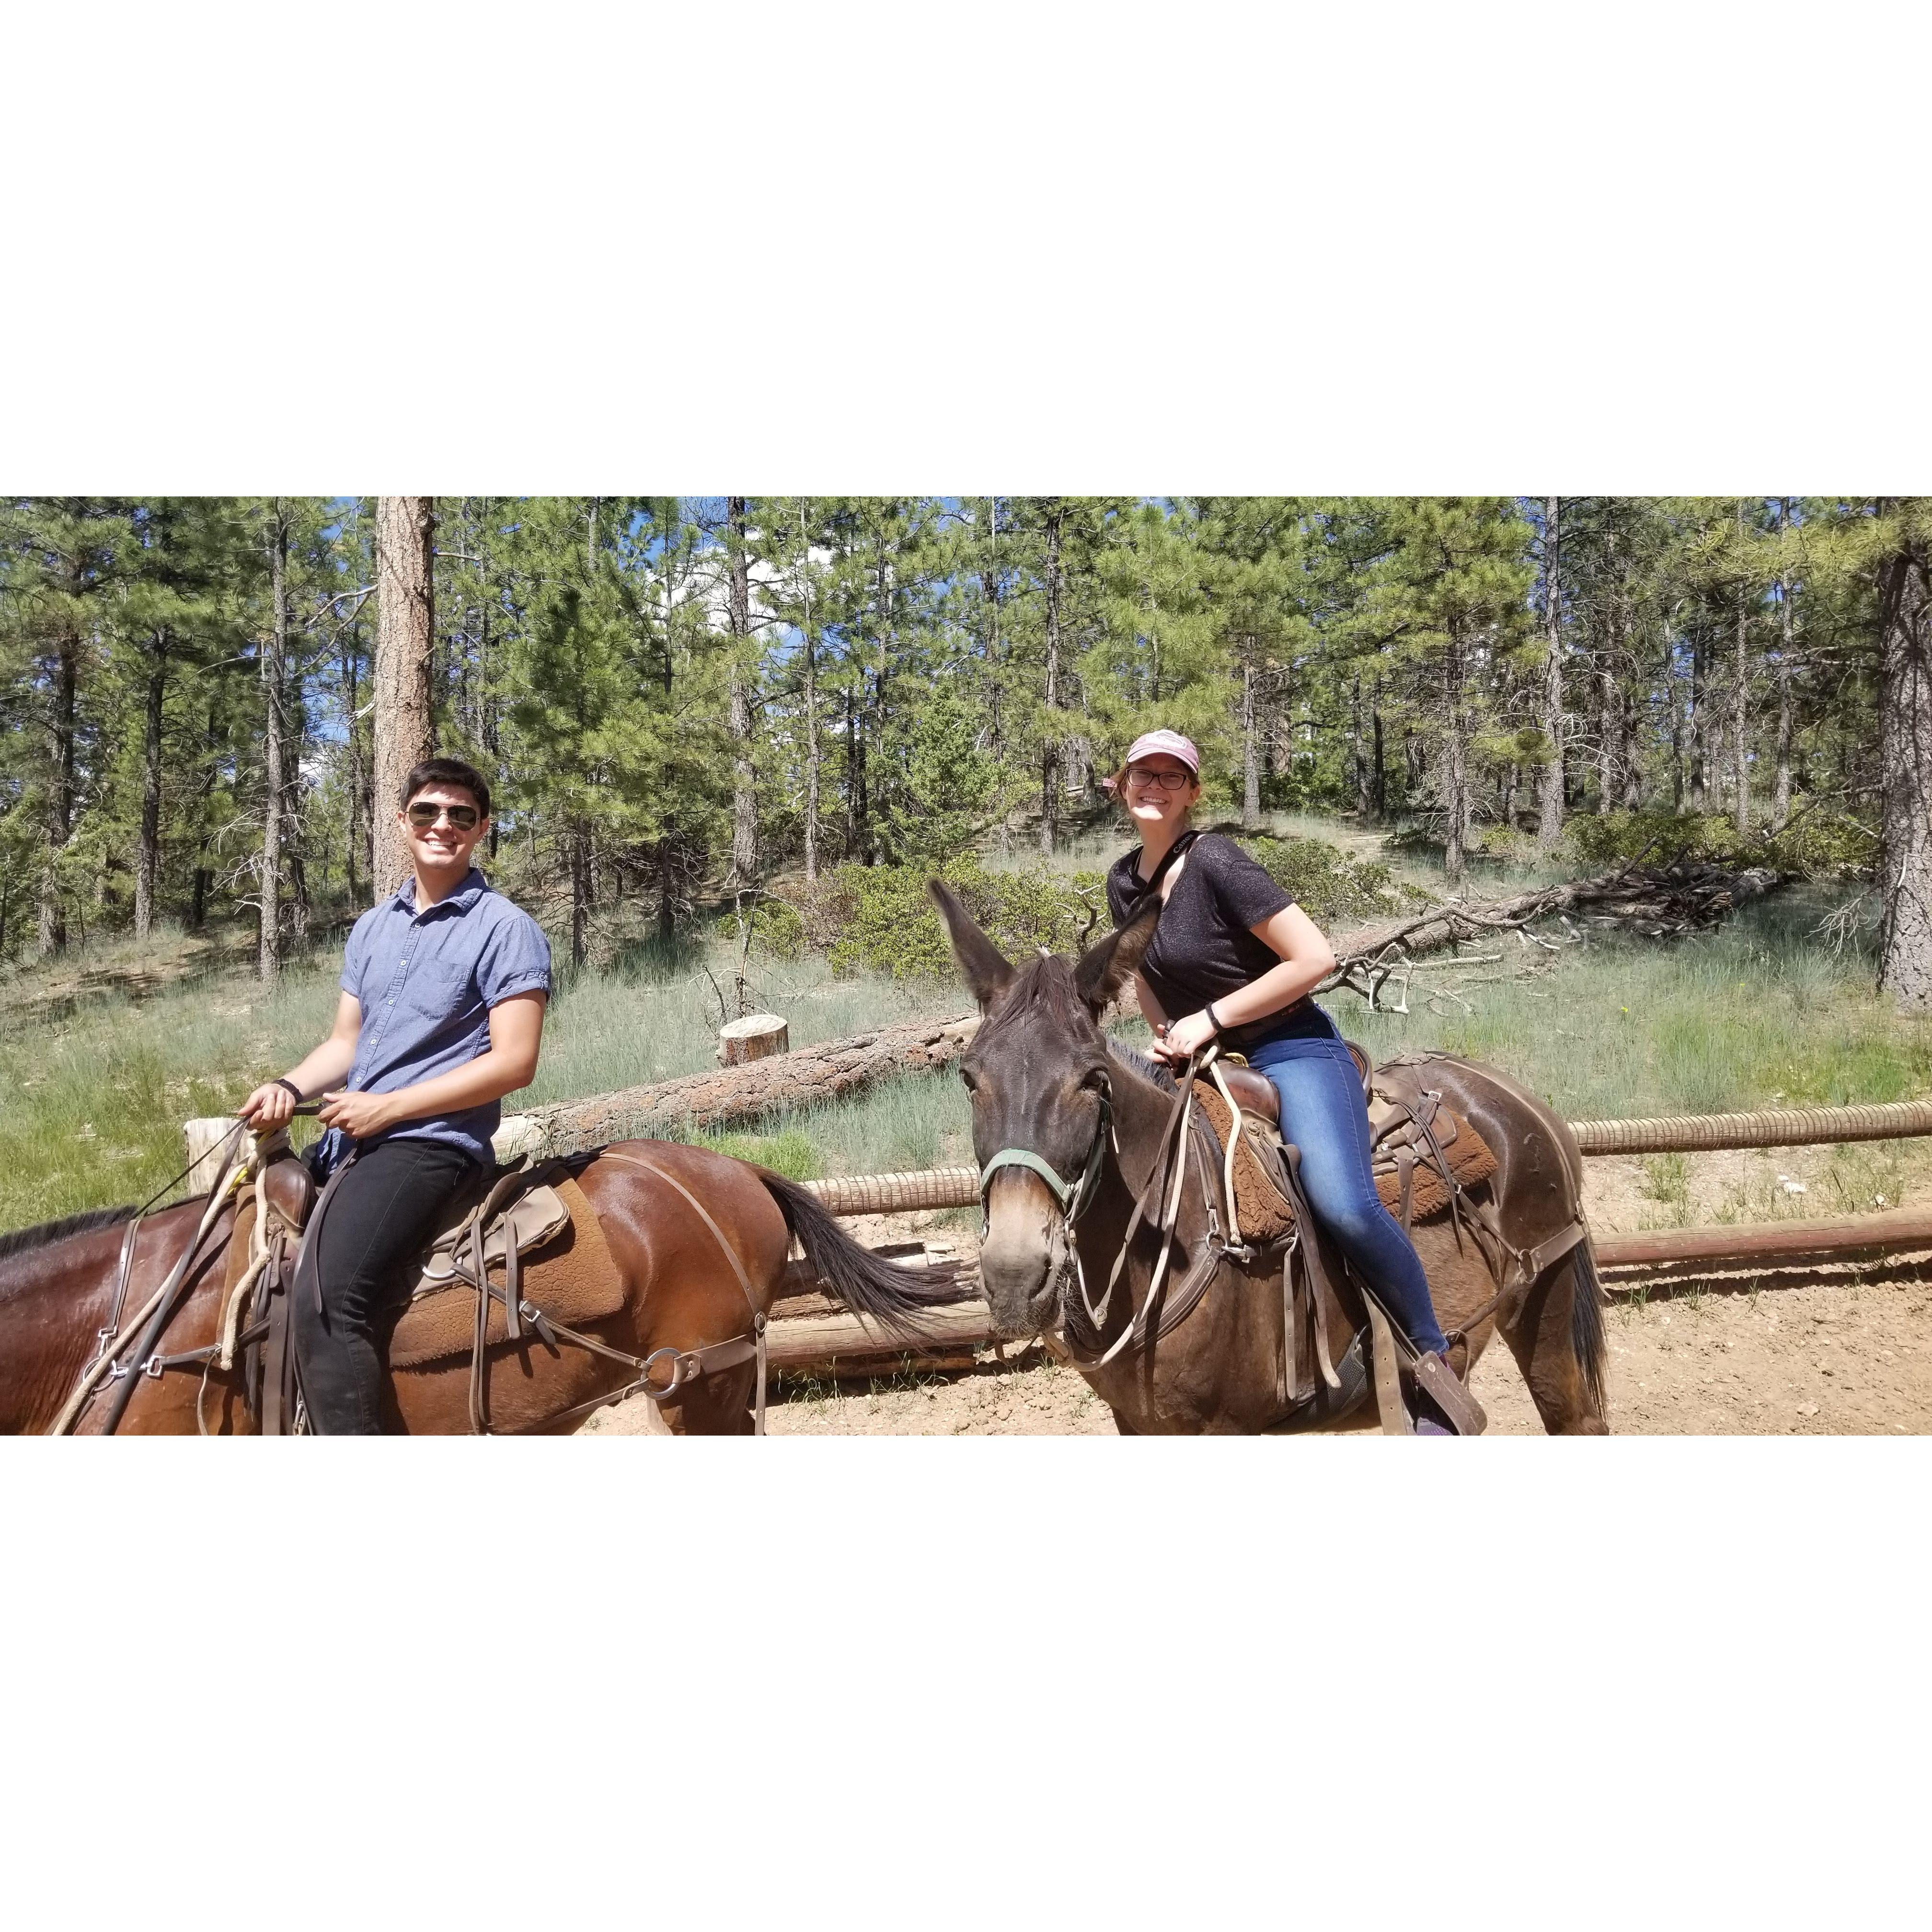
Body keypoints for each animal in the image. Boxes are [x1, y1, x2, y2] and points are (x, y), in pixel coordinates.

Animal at [927, 881, 1607, 1437]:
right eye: (969, 1078)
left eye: (1093, 1081)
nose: (1016, 1277)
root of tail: (1515, 1096)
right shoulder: (1136, 1422)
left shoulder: (1226, 1426)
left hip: (1544, 1311)